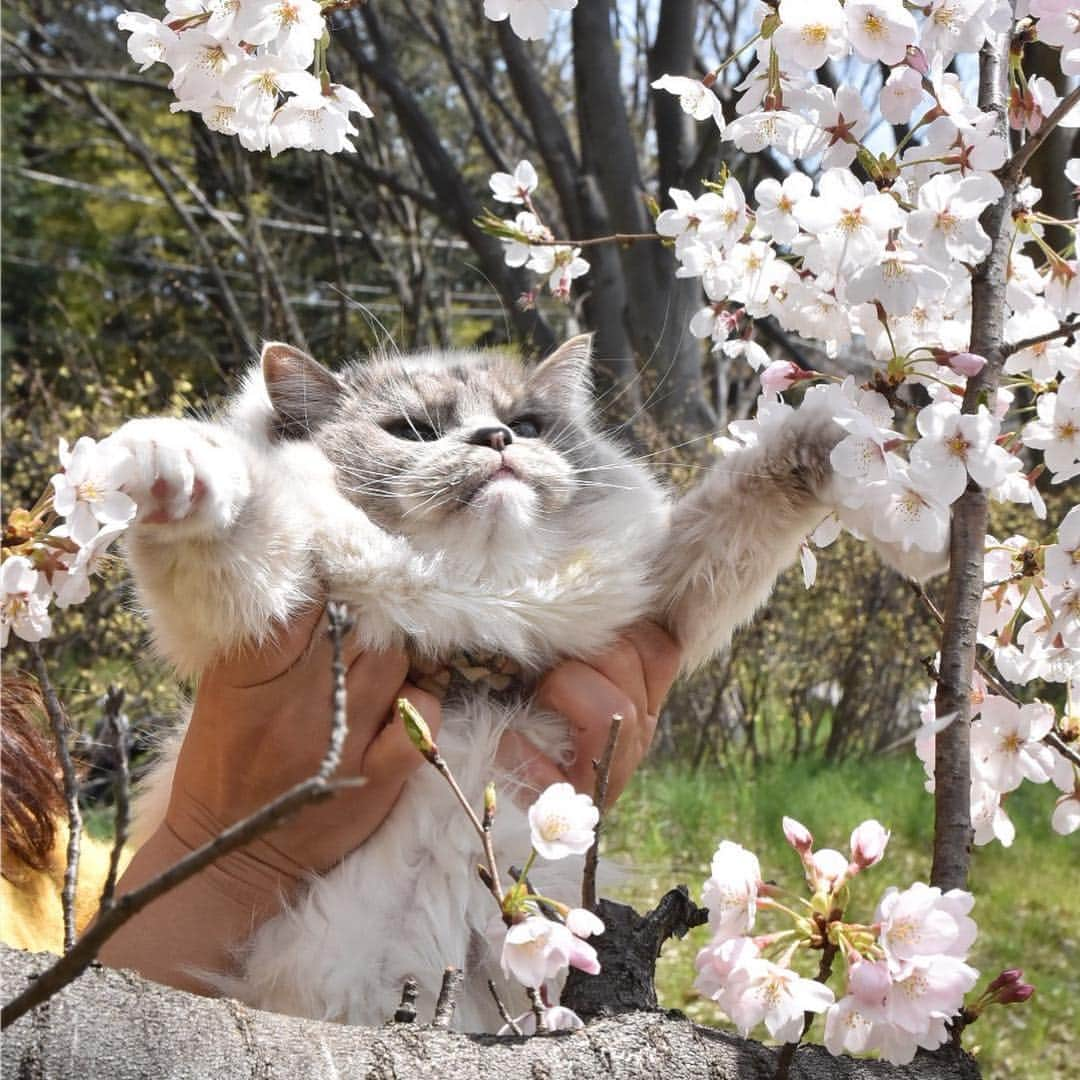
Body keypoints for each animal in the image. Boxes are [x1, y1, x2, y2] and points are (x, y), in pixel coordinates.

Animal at [107, 336, 937, 1028]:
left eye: (528, 425)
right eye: (413, 432)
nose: (498, 442)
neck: (479, 608)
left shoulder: (661, 594)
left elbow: (762, 480)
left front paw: (873, 466)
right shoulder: (261, 605)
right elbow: (228, 520)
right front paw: (159, 460)